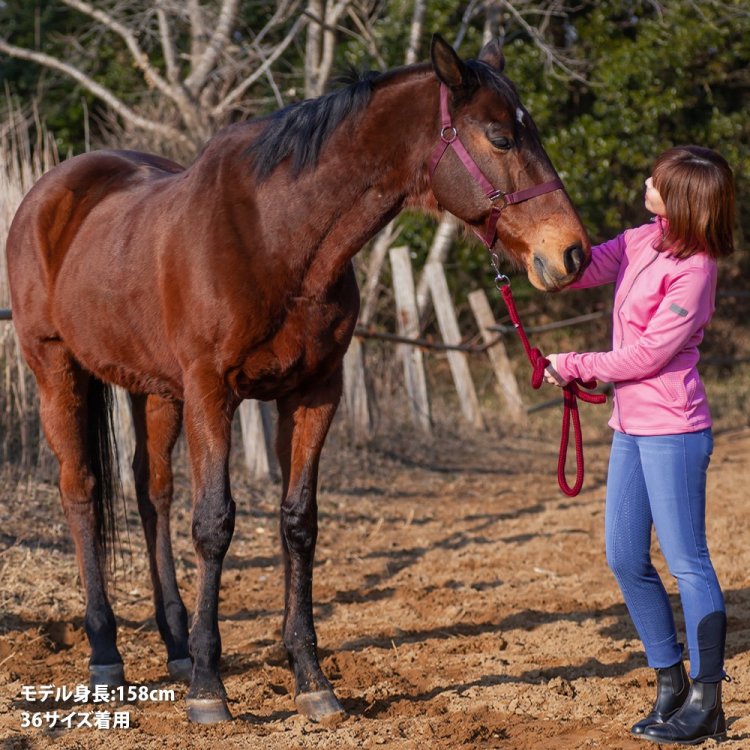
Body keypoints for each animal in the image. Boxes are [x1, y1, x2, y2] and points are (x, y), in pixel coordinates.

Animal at [7, 33, 592, 724]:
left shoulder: (315, 393)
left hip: (154, 390)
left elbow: (298, 524)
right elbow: (215, 524)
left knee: (152, 493)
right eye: (500, 137)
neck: (274, 233)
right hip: (56, 369)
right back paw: (106, 653)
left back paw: (174, 643)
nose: (572, 253)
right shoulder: (211, 392)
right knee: (81, 489)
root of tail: (50, 192)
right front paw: (209, 688)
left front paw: (311, 678)